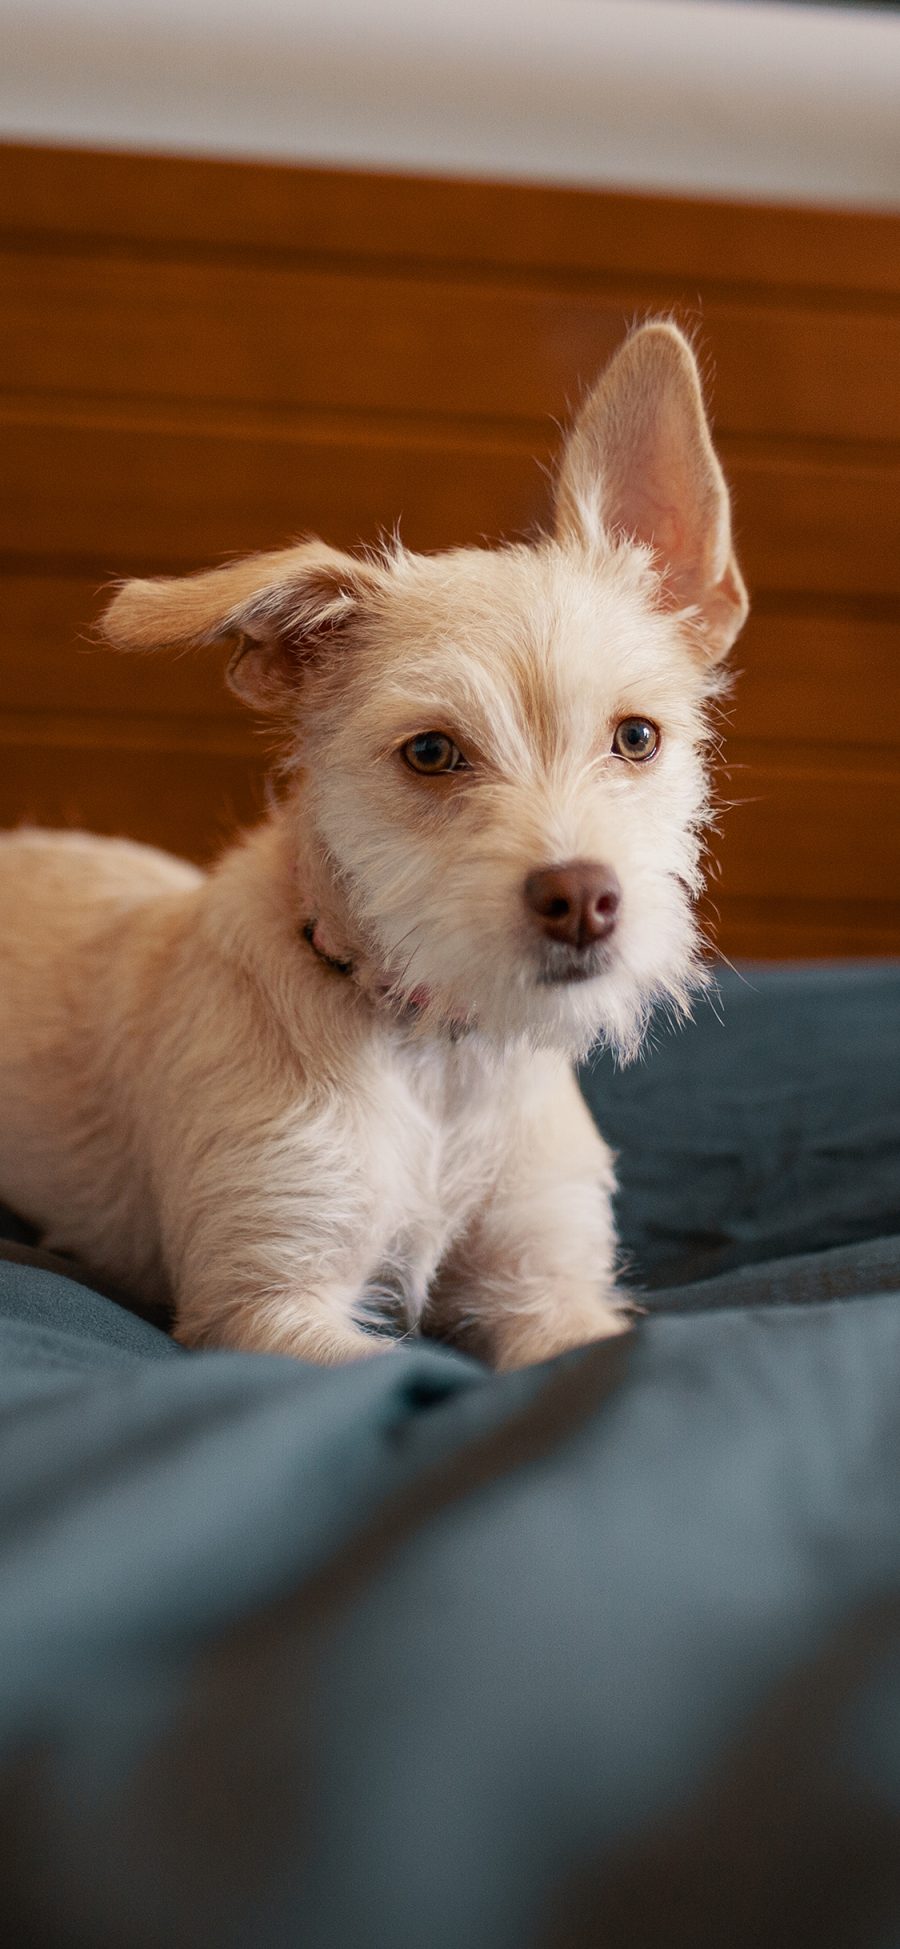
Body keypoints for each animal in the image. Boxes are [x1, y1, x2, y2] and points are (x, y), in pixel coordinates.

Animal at [0, 323, 744, 1372]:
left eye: (636, 737)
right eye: (431, 752)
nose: (583, 899)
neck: (441, 1060)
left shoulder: (551, 1288)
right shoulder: (271, 1304)